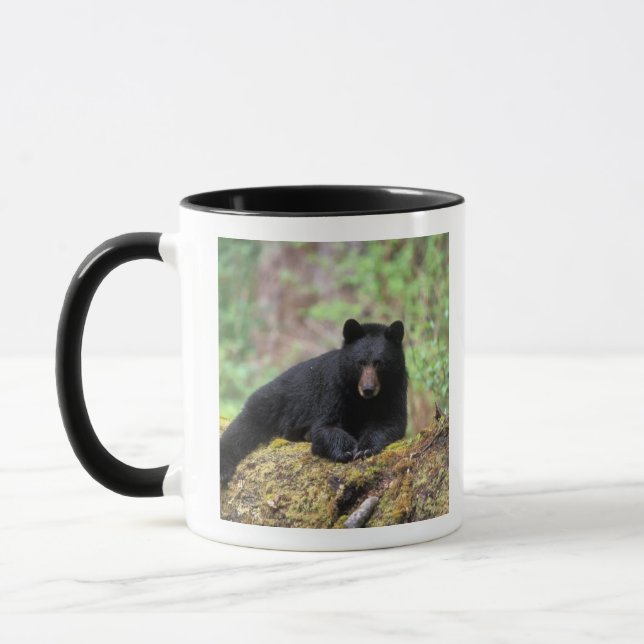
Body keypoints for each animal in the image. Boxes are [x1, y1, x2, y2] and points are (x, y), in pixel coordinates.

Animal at [220, 318, 408, 485]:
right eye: (360, 363)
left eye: (379, 363)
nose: (368, 389)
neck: (362, 400)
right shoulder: (334, 389)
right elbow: (325, 425)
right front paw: (346, 449)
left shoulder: (395, 390)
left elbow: (390, 422)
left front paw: (365, 447)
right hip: (269, 404)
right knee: (241, 429)